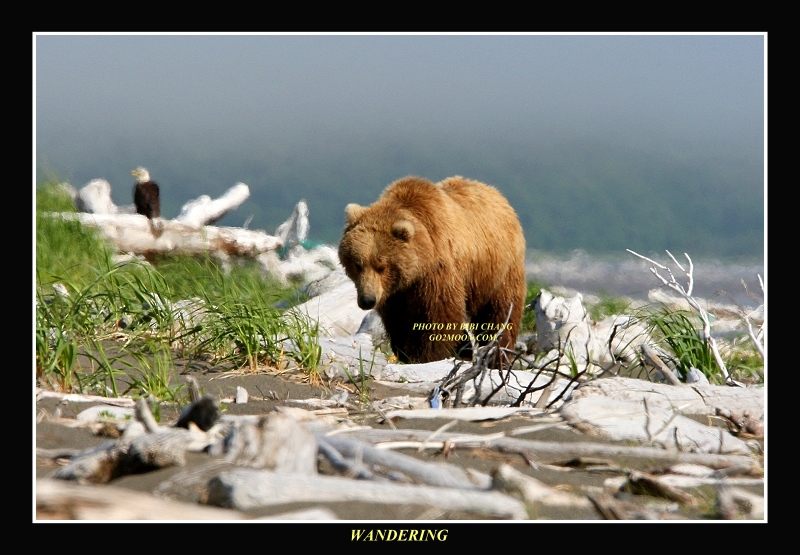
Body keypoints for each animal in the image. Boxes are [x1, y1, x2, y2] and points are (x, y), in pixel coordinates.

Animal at [338, 176, 524, 368]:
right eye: (357, 264)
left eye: (381, 266)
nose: (367, 300)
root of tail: (497, 194)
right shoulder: (395, 293)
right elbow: (398, 321)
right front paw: (404, 351)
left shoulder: (436, 271)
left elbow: (438, 316)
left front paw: (425, 356)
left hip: (499, 270)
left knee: (500, 312)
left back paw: (497, 356)